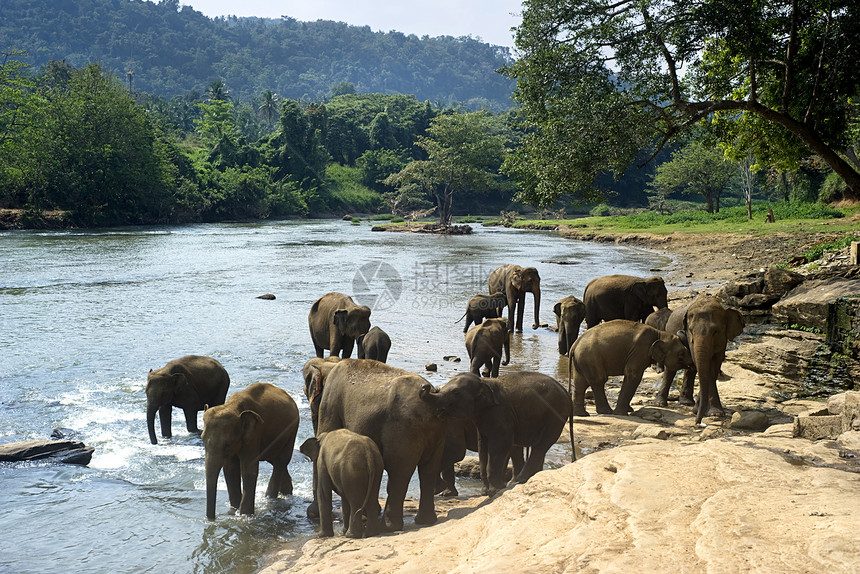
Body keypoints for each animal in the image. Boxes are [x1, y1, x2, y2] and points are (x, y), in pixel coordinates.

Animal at [202, 382, 298, 520]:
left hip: (292, 431)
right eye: (202, 439)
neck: (232, 406)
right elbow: (230, 470)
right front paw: (235, 509)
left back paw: (270, 498)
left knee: (281, 461)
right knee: (275, 461)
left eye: (227, 444)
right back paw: (286, 493)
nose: (212, 519)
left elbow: (248, 471)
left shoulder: (254, 434)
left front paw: (245, 515)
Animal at [314, 362, 478, 532]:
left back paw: (389, 527)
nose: (425, 388)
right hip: (435, 431)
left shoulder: (329, 402)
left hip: (402, 430)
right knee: (427, 470)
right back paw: (424, 520)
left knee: (399, 471)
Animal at [568, 320, 696, 418]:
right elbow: (633, 376)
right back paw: (606, 412)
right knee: (598, 380)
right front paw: (622, 413)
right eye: (681, 354)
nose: (691, 363)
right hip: (591, 358)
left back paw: (582, 414)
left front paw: (629, 410)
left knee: (580, 383)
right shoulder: (640, 351)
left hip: (582, 361)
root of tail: (574, 345)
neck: (660, 333)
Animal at [656, 296, 744, 424]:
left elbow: (715, 365)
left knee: (691, 370)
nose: (698, 422)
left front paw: (713, 412)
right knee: (670, 369)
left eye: (715, 331)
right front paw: (713, 413)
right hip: (669, 331)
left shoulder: (723, 341)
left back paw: (687, 402)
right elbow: (704, 366)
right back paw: (660, 403)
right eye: (690, 330)